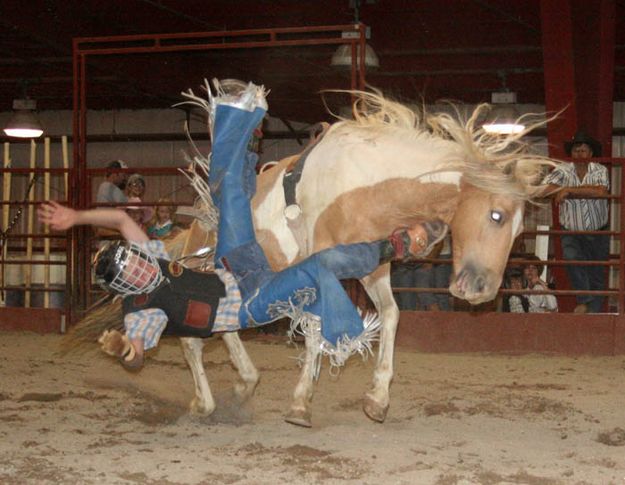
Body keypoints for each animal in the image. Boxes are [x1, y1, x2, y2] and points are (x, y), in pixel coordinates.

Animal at [174, 90, 552, 424]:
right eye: (496, 215)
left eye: (520, 230)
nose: (481, 290)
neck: (361, 183)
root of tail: (198, 225)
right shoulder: (318, 265)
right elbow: (316, 325)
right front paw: (300, 403)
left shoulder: (374, 266)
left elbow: (390, 315)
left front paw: (378, 398)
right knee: (193, 337)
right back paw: (204, 402)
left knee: (225, 327)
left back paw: (244, 384)